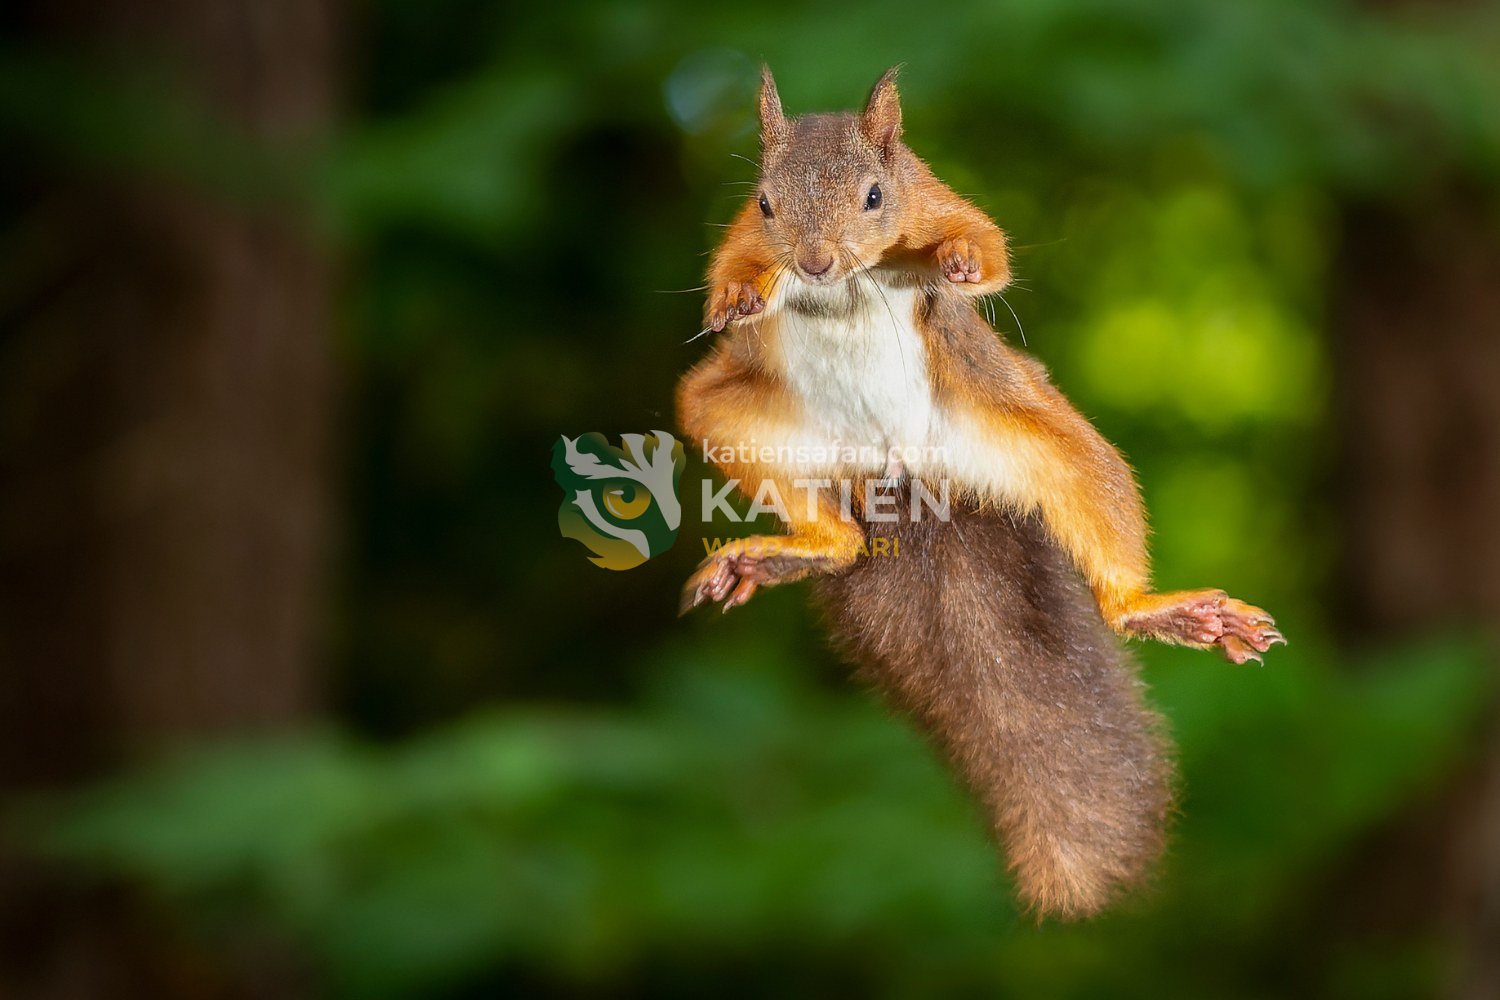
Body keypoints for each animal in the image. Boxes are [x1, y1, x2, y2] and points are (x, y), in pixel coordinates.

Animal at [676, 66, 1285, 919]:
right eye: (766, 202)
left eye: (875, 194)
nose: (816, 262)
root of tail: (900, 472)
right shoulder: (743, 234)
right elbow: (729, 262)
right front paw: (737, 296)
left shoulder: (932, 199)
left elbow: (985, 240)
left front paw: (962, 262)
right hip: (727, 414)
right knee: (839, 538)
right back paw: (792, 550)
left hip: (1037, 436)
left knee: (1088, 494)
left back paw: (1155, 608)